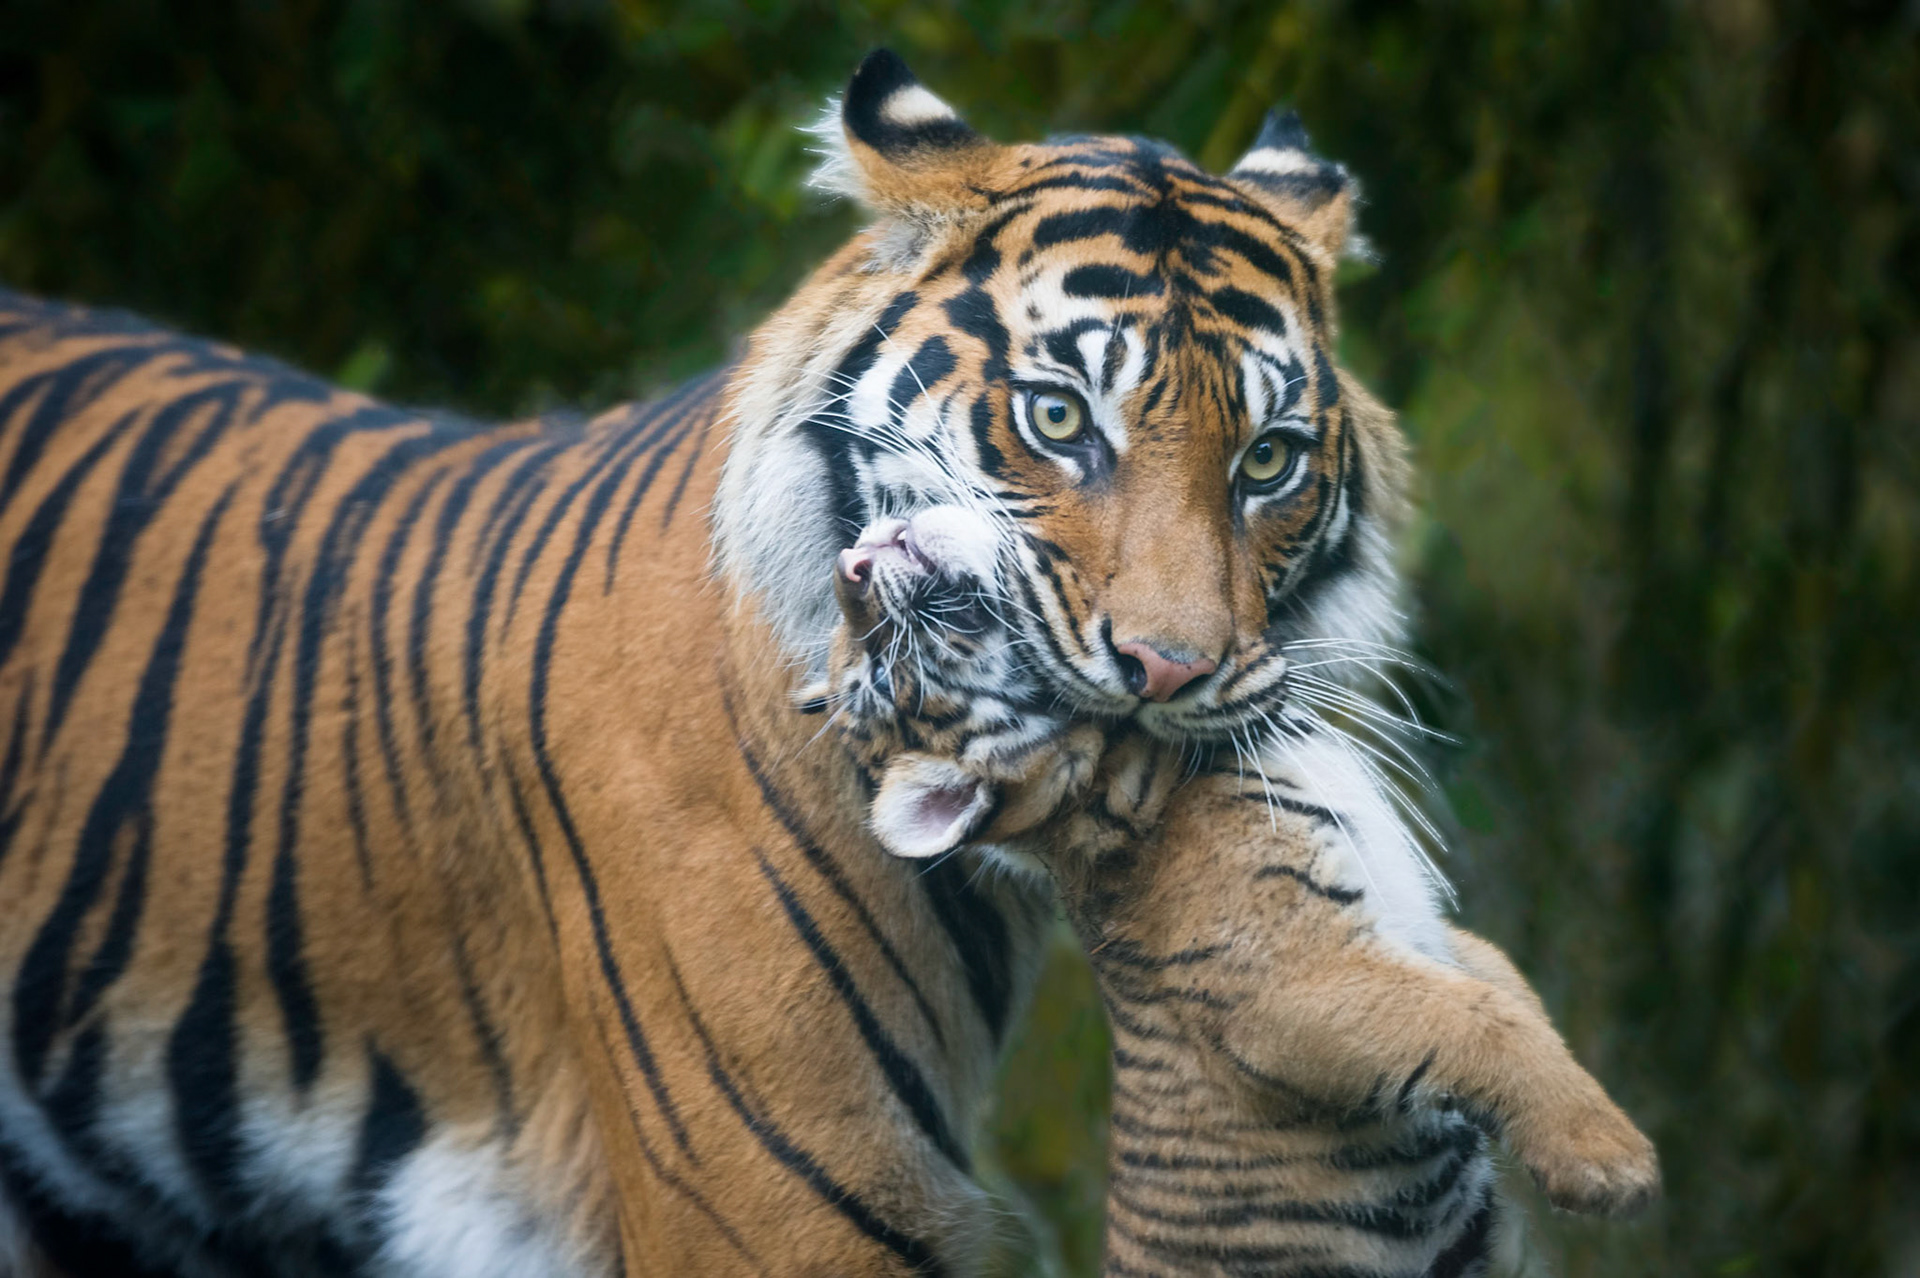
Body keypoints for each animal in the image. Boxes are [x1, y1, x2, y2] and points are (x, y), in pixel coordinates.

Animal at [816, 504, 1660, 1271]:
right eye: (888, 672)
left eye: (866, 660)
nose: (849, 566)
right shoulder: (1296, 980)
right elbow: (1482, 1022)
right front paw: (1613, 1164)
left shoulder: (1427, 935)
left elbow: (1511, 993)